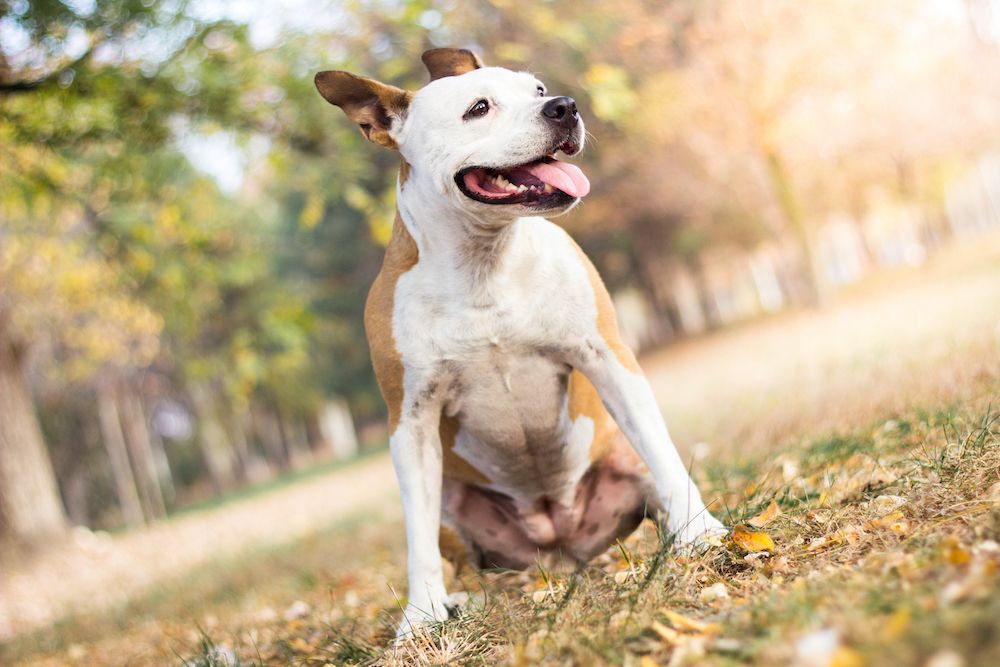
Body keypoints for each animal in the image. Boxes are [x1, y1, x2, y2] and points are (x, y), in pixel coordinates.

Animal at [316, 48, 724, 636]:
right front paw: (420, 616)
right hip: (455, 508)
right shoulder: (409, 420)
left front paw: (701, 530)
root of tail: (557, 541)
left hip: (622, 464)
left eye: (538, 90)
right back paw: (460, 600)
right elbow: (416, 539)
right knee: (454, 554)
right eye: (478, 108)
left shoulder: (608, 358)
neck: (484, 262)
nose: (565, 106)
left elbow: (664, 453)